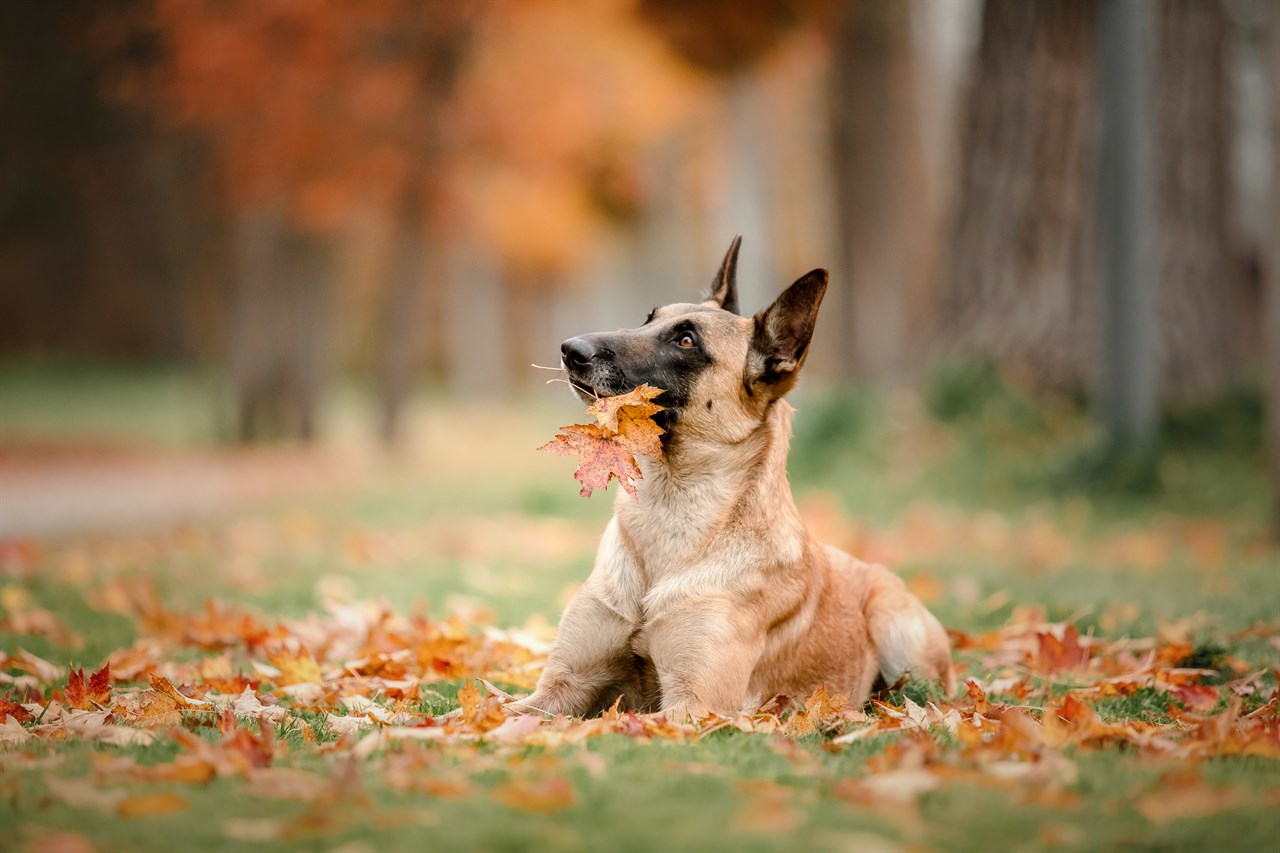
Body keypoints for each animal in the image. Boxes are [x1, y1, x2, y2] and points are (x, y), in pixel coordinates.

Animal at [514, 236, 957, 717]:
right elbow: (498, 716)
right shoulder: (559, 687)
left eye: (686, 340)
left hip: (895, 626)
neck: (670, 511)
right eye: (648, 320)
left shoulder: (694, 705)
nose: (570, 349)